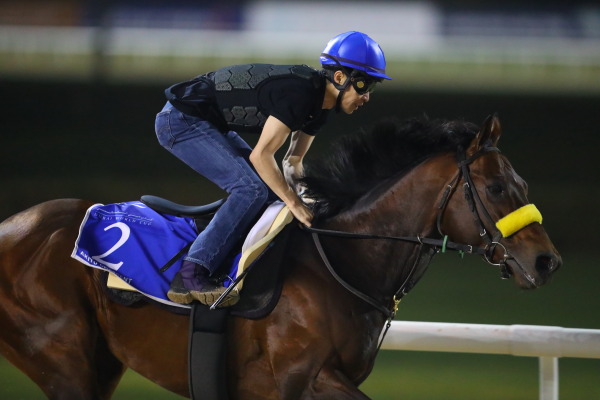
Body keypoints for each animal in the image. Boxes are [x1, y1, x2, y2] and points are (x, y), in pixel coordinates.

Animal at [0, 114, 564, 398]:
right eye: (495, 188)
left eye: (521, 183)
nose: (547, 262)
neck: (344, 261)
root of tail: (13, 226)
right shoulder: (300, 378)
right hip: (63, 359)